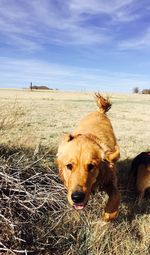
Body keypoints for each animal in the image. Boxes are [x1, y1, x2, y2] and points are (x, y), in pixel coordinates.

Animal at [56, 93, 120, 221]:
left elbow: (115, 199)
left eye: (91, 166)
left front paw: (106, 215)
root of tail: (100, 111)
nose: (77, 197)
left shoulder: (111, 178)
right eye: (69, 166)